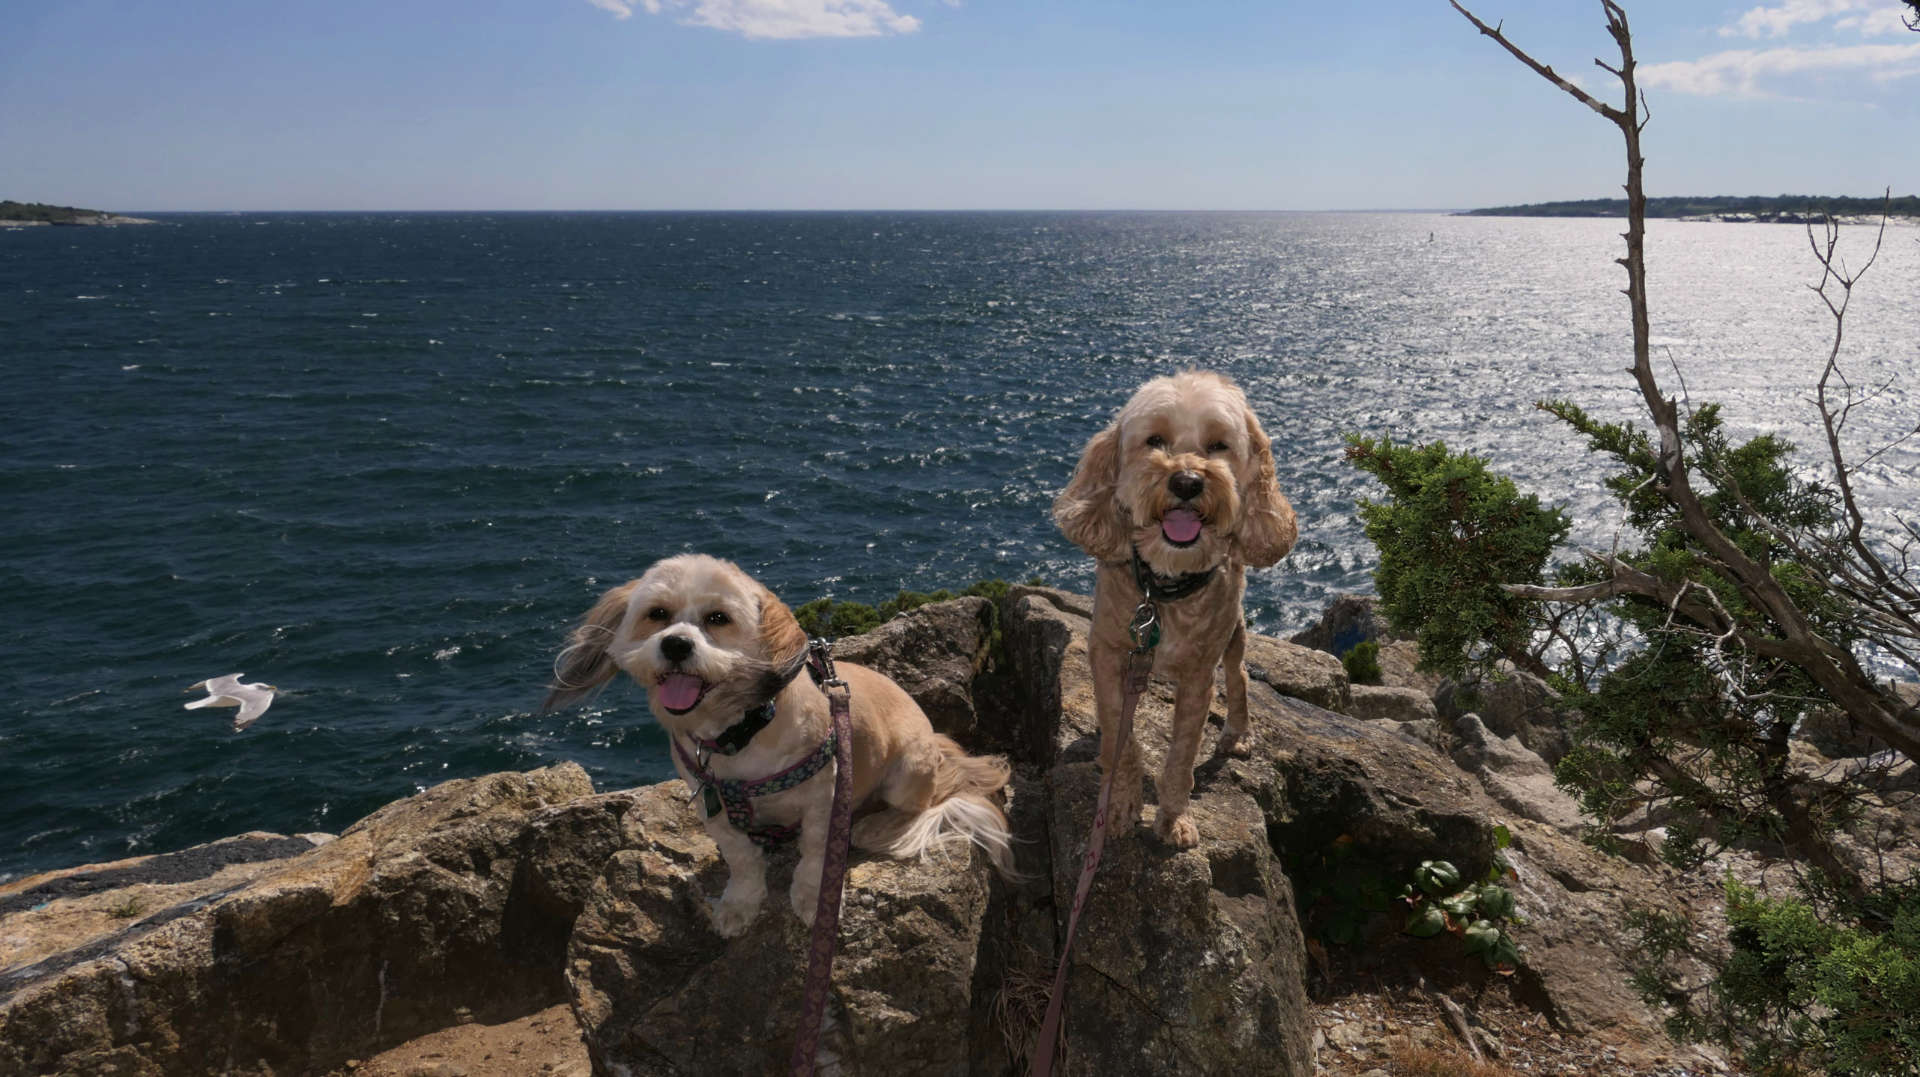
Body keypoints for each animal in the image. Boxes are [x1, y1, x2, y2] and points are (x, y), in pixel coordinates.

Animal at [545, 552, 1013, 933]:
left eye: (719, 618)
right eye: (657, 613)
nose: (676, 644)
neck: (738, 734)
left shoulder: (825, 799)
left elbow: (815, 856)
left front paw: (813, 900)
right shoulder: (711, 806)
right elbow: (742, 859)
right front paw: (739, 904)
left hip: (908, 769)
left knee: (921, 805)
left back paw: (876, 823)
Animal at [1059, 368, 1297, 848]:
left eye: (1219, 445)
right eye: (1155, 440)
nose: (1187, 481)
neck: (1163, 589)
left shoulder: (1197, 677)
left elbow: (1182, 755)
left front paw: (1172, 820)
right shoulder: (1107, 652)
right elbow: (1122, 740)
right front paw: (1118, 806)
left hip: (1234, 631)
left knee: (1240, 675)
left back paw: (1237, 733)